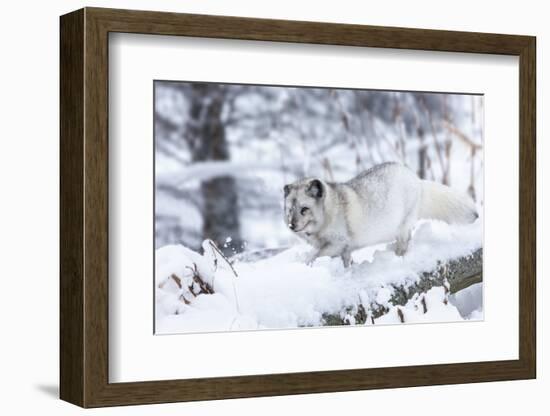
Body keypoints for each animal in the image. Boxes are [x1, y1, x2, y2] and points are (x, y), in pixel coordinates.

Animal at [284, 162, 478, 266]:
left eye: (304, 209)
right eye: (290, 210)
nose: (291, 225)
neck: (330, 212)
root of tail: (416, 179)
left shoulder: (338, 243)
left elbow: (314, 255)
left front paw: (305, 265)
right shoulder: (344, 250)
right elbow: (345, 262)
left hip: (403, 227)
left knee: (404, 243)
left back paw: (399, 257)